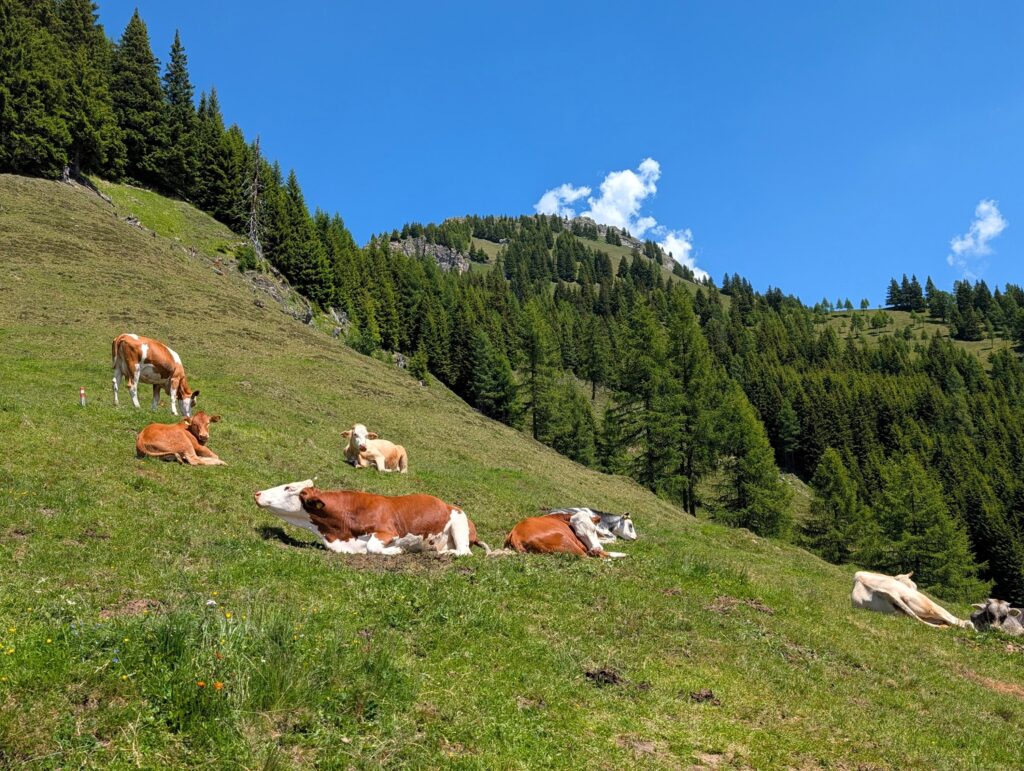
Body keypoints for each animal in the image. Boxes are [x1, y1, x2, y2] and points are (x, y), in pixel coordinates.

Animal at [253, 480, 488, 556]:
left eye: (288, 487)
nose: (257, 493)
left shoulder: (388, 531)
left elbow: (373, 546)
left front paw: (398, 550)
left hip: (459, 521)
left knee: (464, 552)